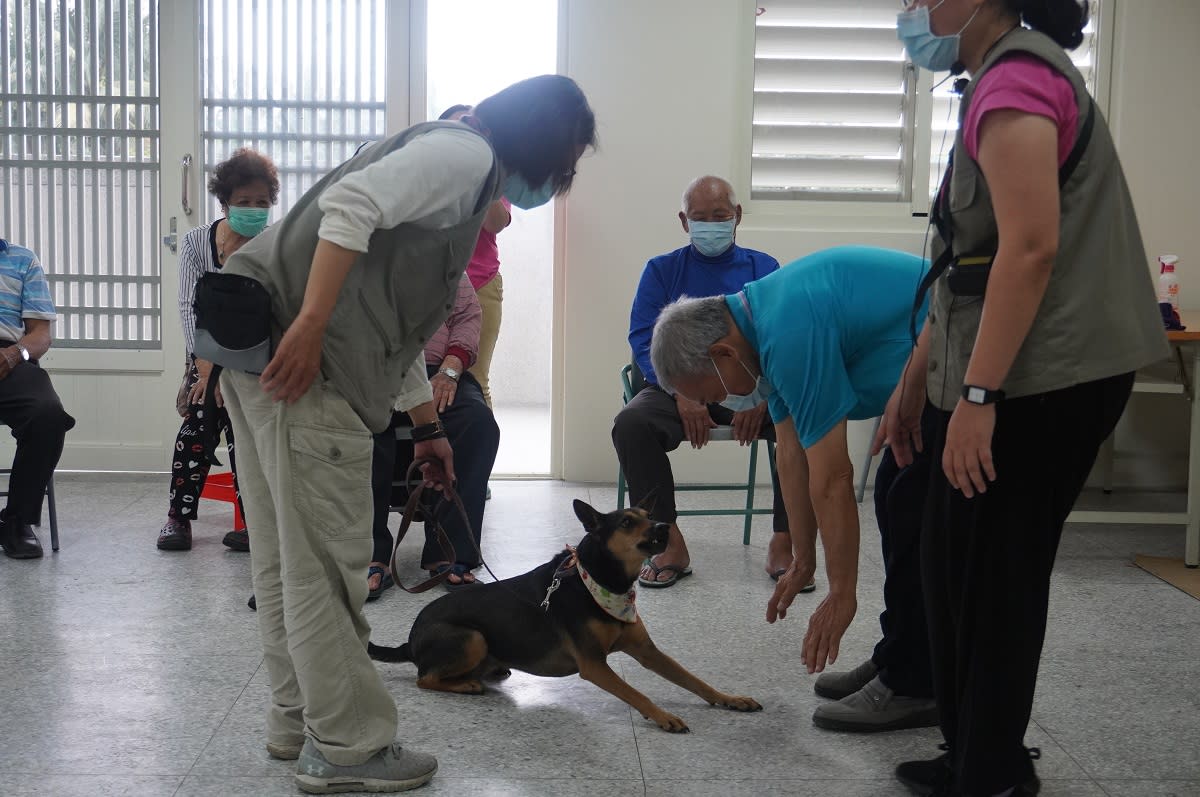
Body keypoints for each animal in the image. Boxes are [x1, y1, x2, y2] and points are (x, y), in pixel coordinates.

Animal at [364, 501, 758, 729]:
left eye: (649, 517)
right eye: (626, 523)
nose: (663, 527)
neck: (603, 583)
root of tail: (409, 642)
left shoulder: (647, 651)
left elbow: (695, 680)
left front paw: (731, 699)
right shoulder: (593, 665)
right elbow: (637, 694)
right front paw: (664, 716)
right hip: (472, 638)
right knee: (424, 679)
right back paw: (466, 684)